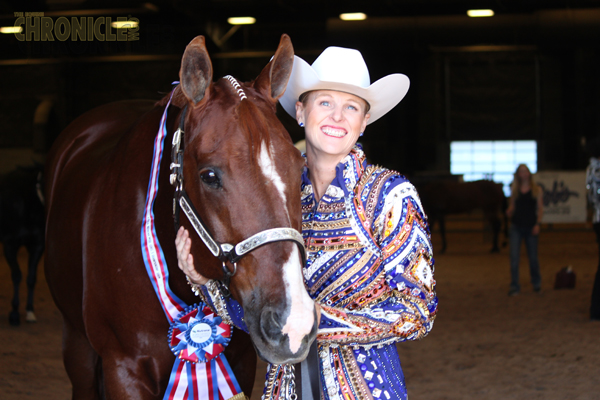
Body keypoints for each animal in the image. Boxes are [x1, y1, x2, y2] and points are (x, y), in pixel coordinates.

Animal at [0, 164, 44, 326]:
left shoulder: (37, 245)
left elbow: (31, 278)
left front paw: (29, 311)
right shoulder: (10, 245)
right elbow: (17, 275)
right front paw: (14, 314)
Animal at [44, 35, 316, 400]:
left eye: (300, 168)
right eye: (209, 176)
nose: (292, 321)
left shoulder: (241, 364)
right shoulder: (123, 370)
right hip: (77, 346)